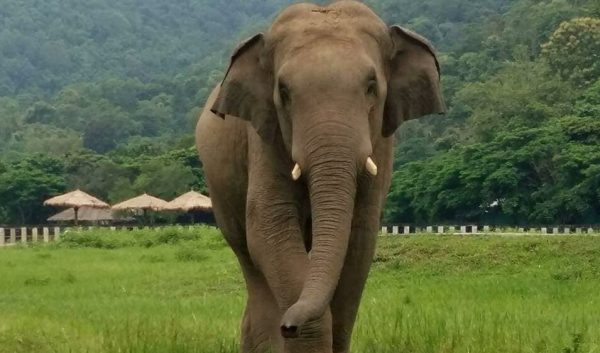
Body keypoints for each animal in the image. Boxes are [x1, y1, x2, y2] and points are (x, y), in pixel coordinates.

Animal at [197, 0, 446, 352]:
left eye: (372, 87)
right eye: (284, 92)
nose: (288, 327)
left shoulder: (383, 144)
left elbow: (359, 237)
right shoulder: (263, 138)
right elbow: (269, 226)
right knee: (251, 260)